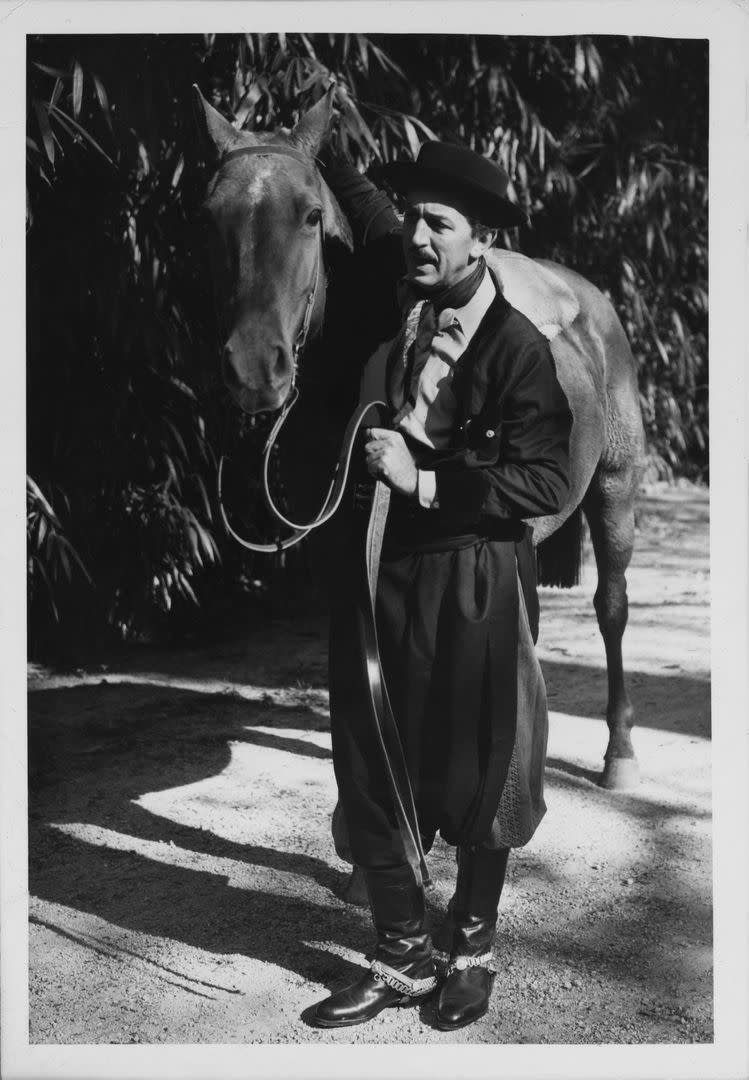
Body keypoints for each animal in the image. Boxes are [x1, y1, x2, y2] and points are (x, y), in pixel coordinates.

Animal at [193, 84, 647, 889]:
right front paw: (366, 849)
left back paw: (617, 755)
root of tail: (590, 300)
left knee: (612, 608)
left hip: (615, 490)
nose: (253, 368)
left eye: (309, 215)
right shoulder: (341, 556)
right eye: (210, 216)